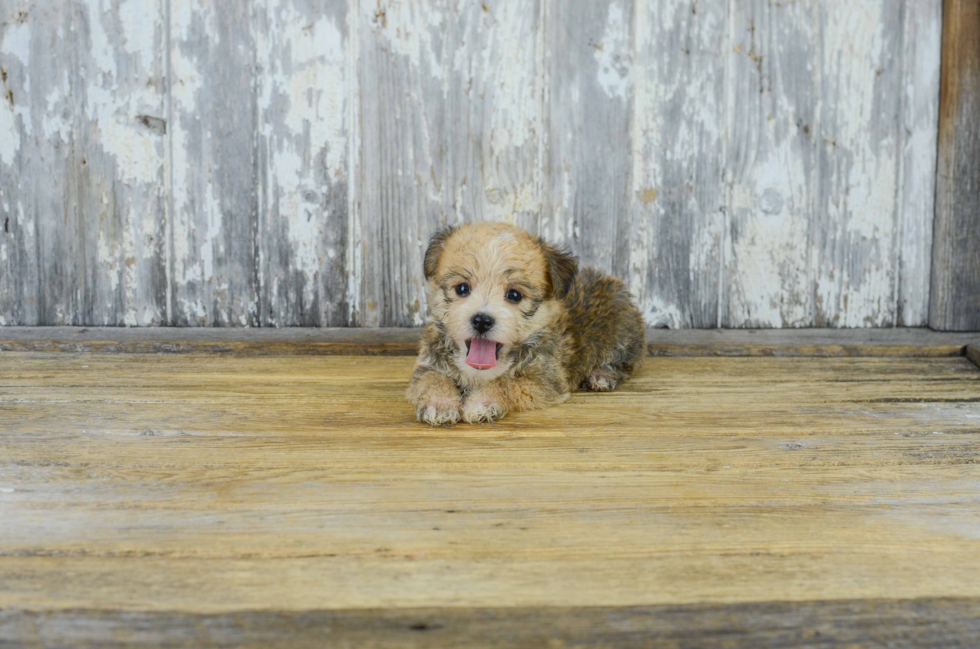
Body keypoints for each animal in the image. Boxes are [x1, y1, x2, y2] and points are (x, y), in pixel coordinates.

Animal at [402, 223, 648, 426]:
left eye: (514, 295)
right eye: (462, 288)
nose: (482, 320)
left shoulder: (543, 380)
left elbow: (507, 383)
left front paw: (482, 401)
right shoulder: (428, 365)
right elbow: (433, 379)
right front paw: (439, 404)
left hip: (621, 331)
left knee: (621, 362)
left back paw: (601, 376)